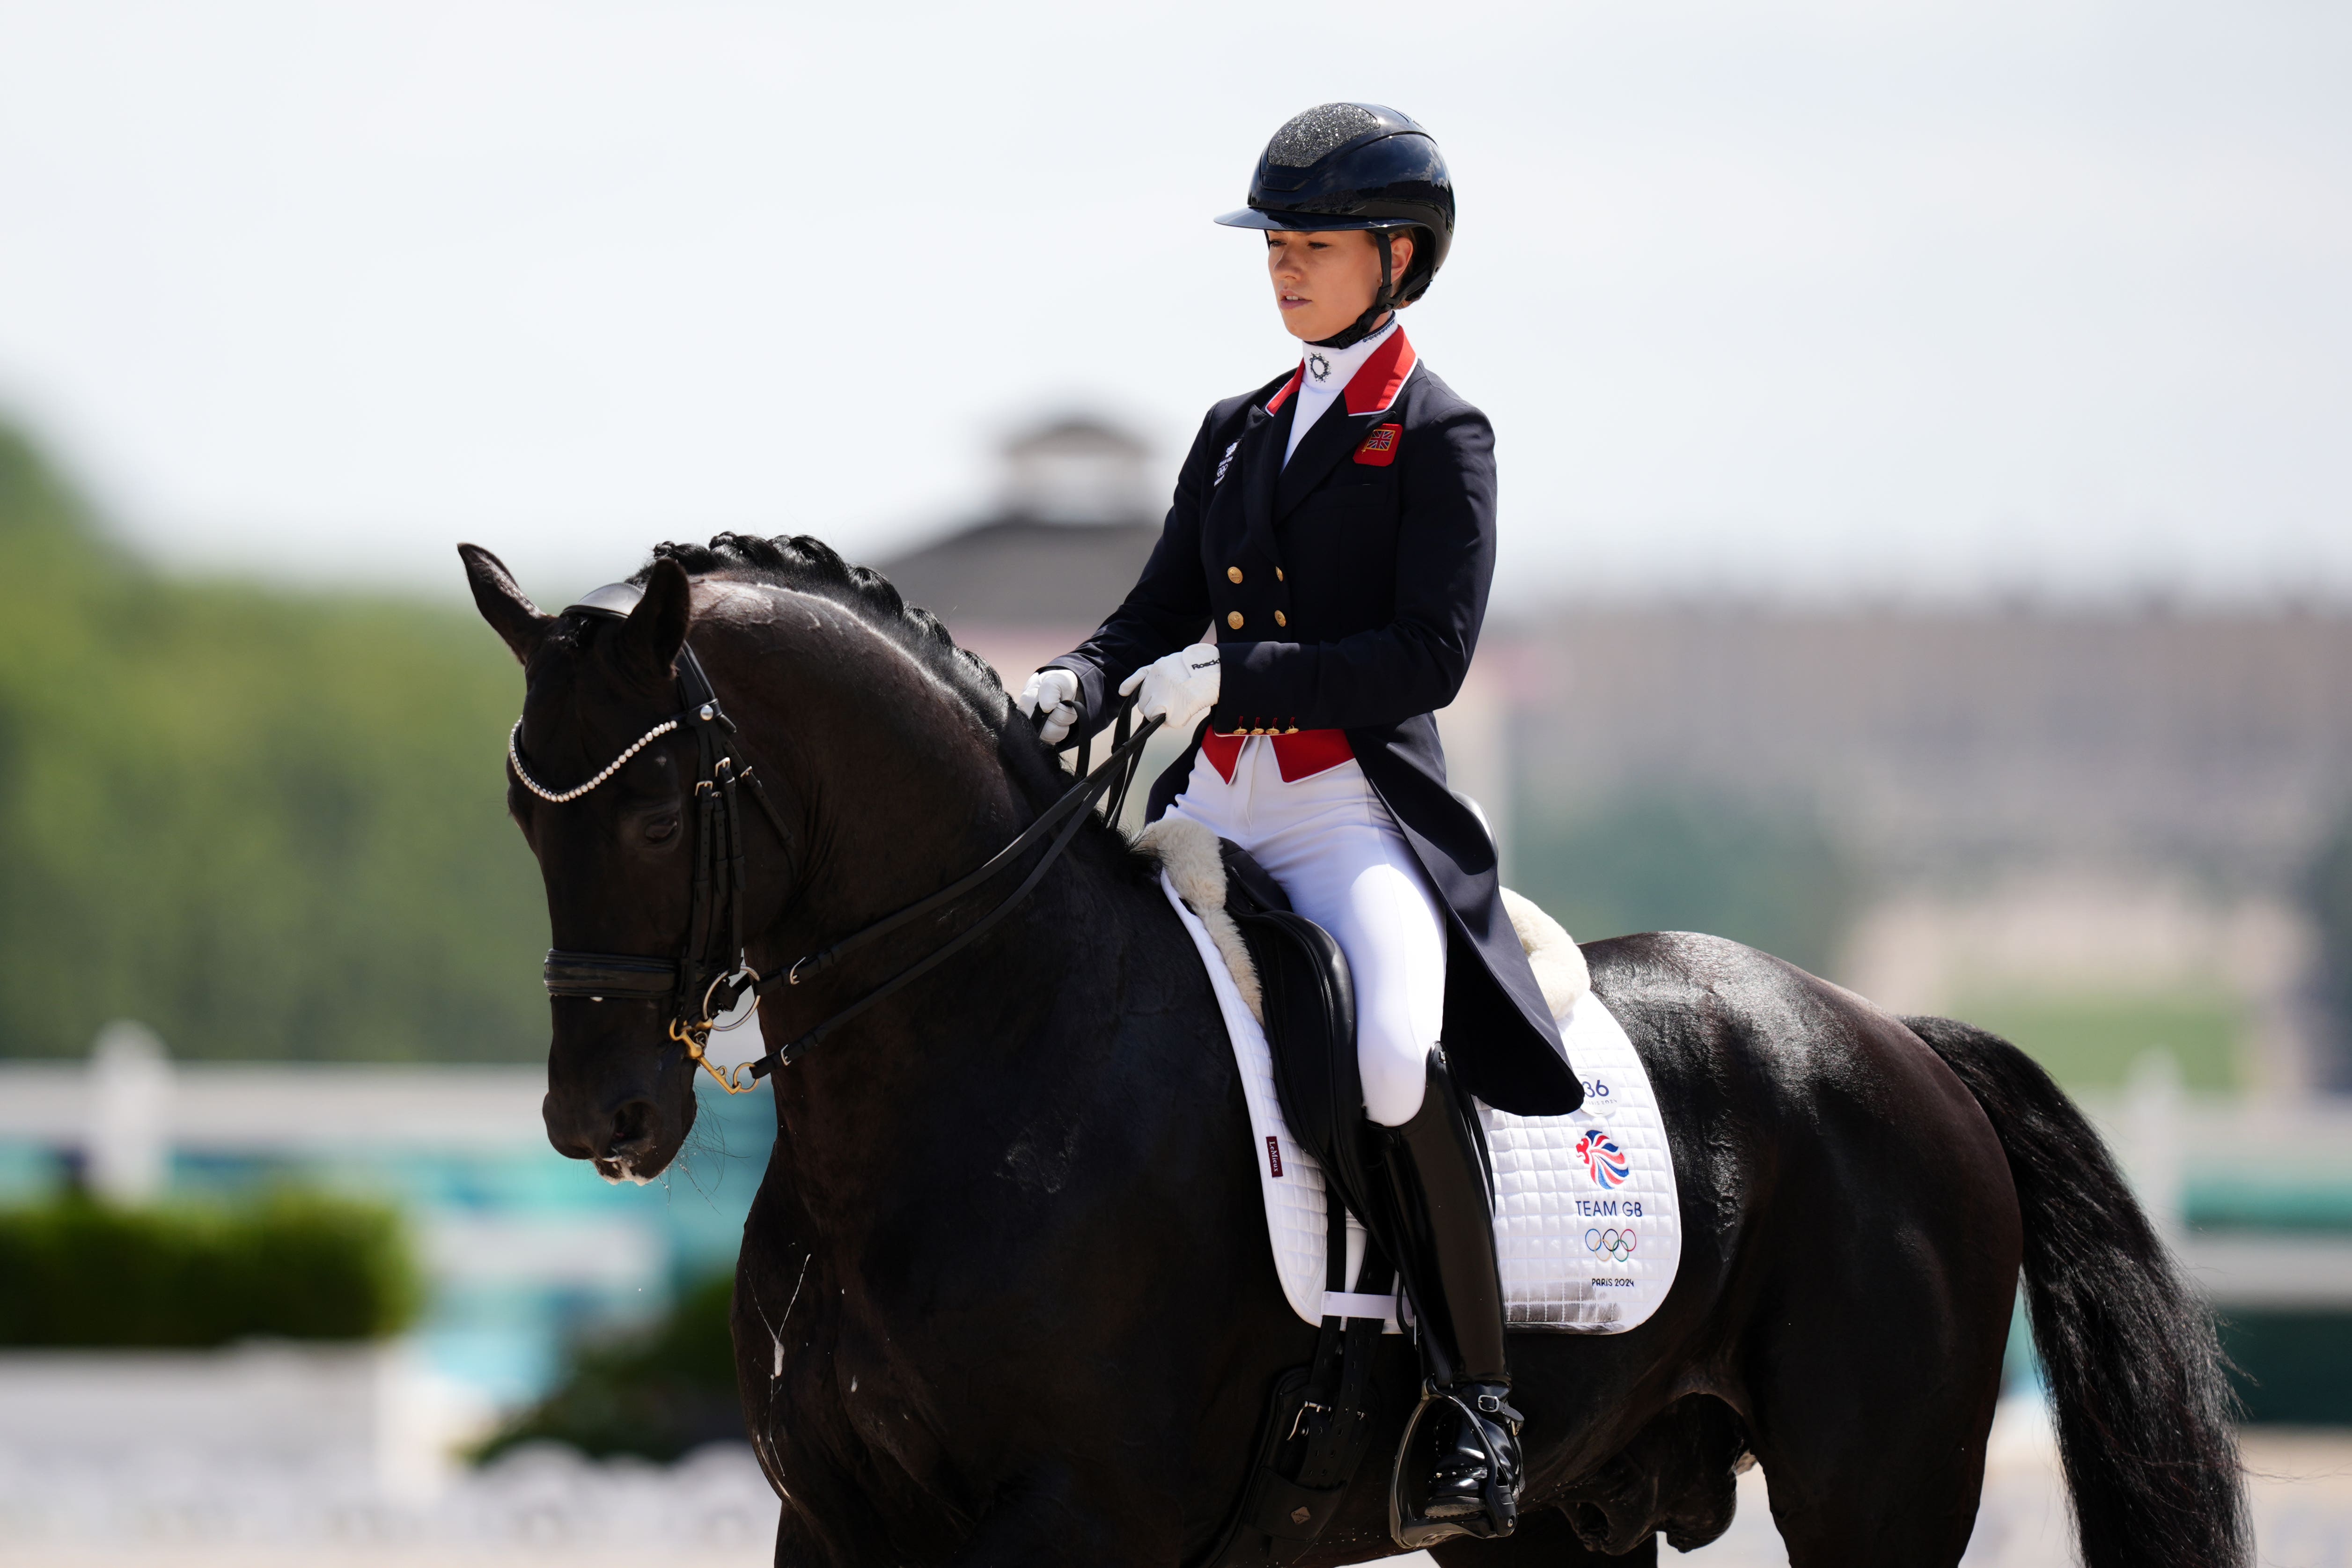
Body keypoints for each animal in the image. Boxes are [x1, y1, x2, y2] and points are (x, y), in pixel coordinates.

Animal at [458, 533, 2239, 1561]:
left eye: (652, 806)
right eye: (520, 817)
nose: (598, 1114)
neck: (986, 1061)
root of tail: (1892, 1036)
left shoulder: (1068, 1524)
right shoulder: (833, 1524)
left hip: (1875, 1485)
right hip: (1575, 1515)